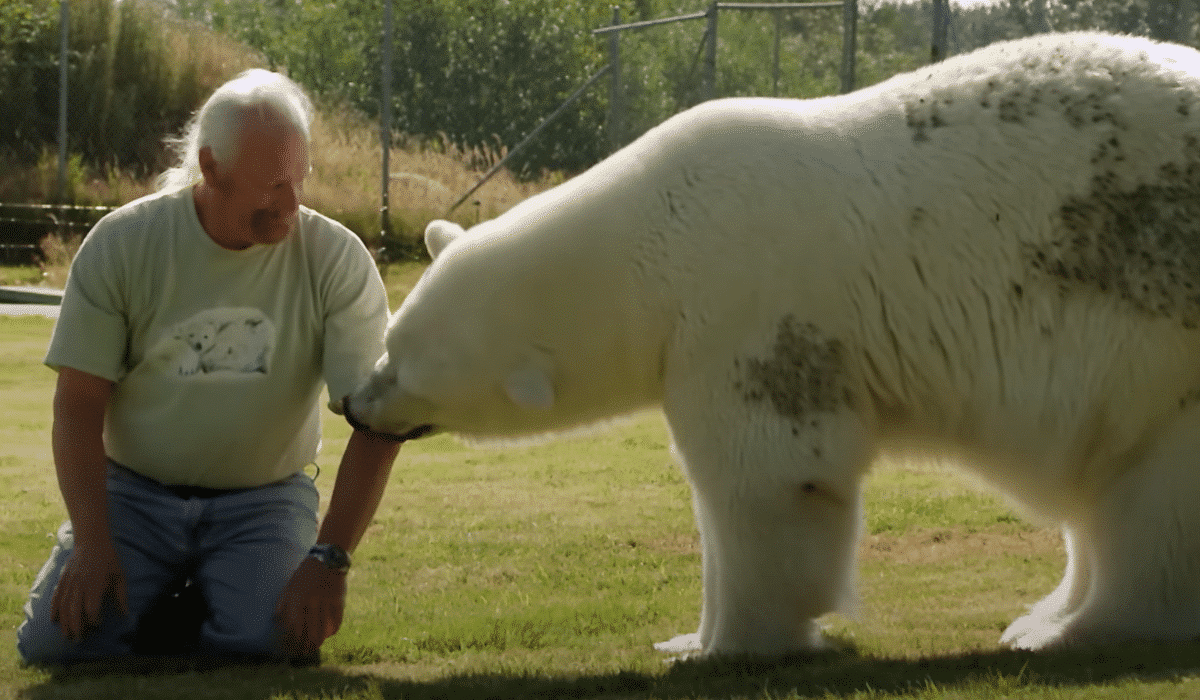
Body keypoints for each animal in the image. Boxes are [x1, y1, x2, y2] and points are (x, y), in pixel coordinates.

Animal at [345, 32, 1200, 657]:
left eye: (407, 366)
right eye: (389, 338)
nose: (353, 403)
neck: (650, 236)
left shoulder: (744, 317)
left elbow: (770, 477)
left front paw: (720, 646)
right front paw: (692, 636)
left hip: (1165, 339)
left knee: (1151, 501)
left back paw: (1073, 629)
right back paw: (1042, 615)